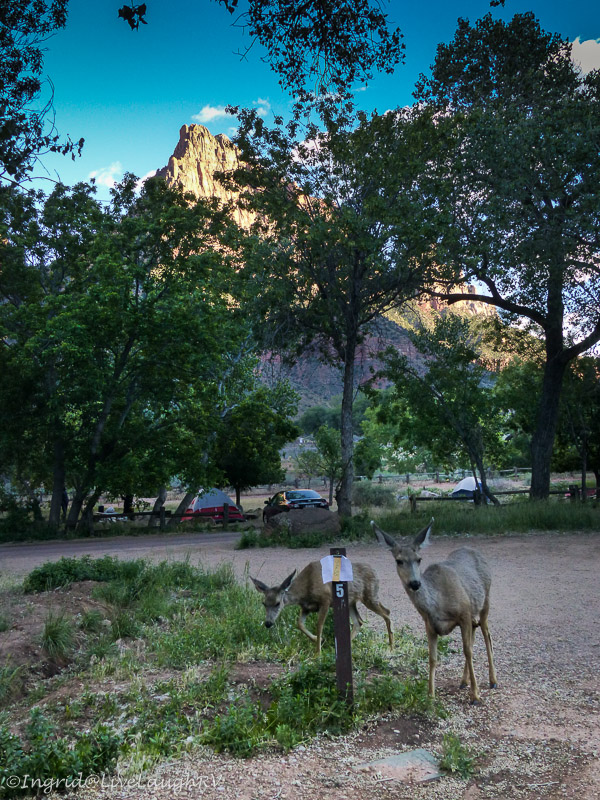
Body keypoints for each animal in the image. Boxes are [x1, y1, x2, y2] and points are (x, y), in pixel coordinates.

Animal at [250, 560, 394, 654]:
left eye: (277, 603)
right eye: (264, 603)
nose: (268, 623)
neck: (305, 590)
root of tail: (375, 572)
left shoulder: (325, 600)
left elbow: (319, 625)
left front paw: (318, 652)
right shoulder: (306, 608)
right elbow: (299, 624)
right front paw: (319, 640)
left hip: (369, 596)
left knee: (386, 613)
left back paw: (391, 646)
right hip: (352, 602)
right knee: (359, 621)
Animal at [371, 518, 497, 704]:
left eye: (419, 559)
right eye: (399, 561)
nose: (415, 583)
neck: (437, 604)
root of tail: (474, 550)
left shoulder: (464, 613)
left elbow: (467, 651)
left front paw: (475, 695)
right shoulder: (429, 624)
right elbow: (432, 658)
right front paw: (430, 696)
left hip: (486, 599)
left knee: (486, 635)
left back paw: (493, 680)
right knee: (475, 631)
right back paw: (463, 681)